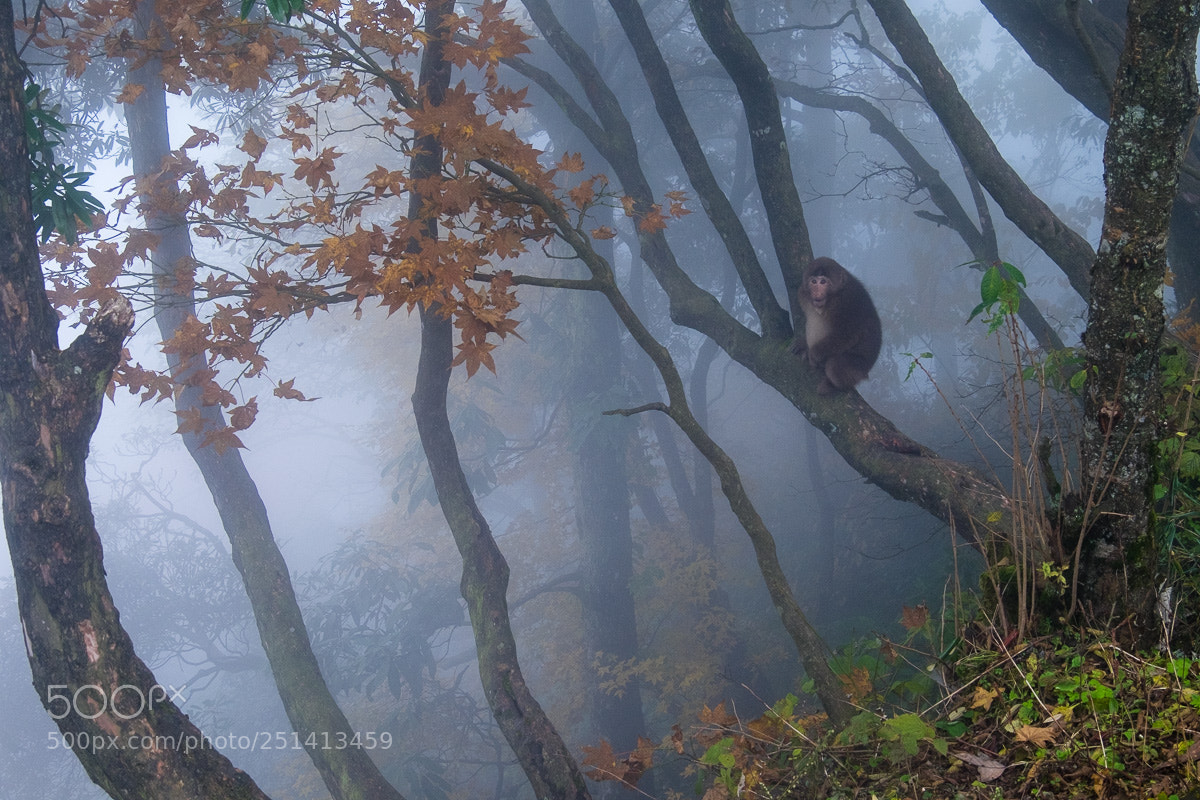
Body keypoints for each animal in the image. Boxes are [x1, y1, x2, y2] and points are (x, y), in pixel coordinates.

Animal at [791, 256, 882, 395]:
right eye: (814, 282)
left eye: (823, 282)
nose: (817, 292)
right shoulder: (802, 293)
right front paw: (804, 344)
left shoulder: (846, 301)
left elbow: (847, 334)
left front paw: (814, 354)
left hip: (858, 369)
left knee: (834, 365)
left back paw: (834, 386)